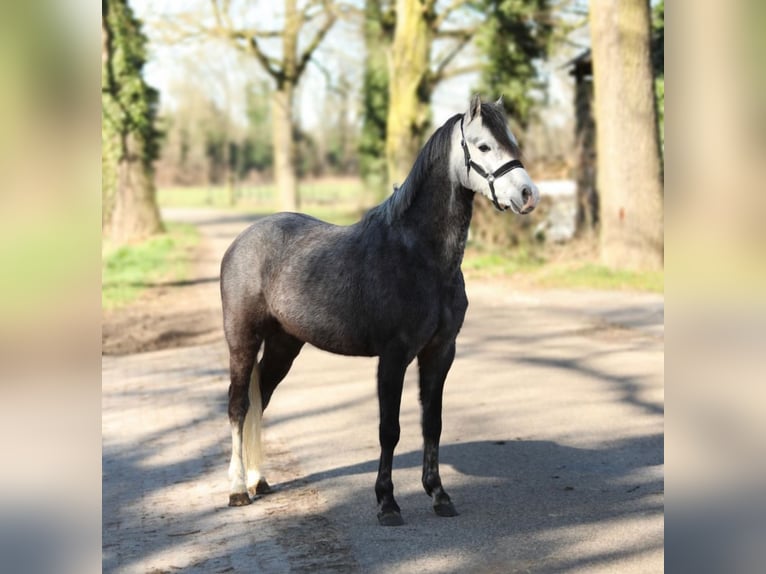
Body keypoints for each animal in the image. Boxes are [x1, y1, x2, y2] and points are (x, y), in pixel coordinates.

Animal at [220, 95, 539, 526]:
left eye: (512, 141)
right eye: (484, 146)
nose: (528, 194)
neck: (419, 255)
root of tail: (242, 241)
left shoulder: (440, 352)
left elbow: (432, 423)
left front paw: (439, 495)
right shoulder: (393, 356)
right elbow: (390, 428)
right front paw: (387, 502)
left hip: (285, 345)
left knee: (260, 399)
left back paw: (258, 480)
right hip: (242, 340)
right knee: (238, 406)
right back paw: (238, 489)